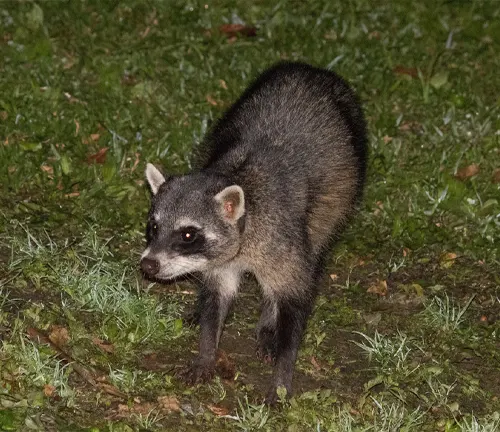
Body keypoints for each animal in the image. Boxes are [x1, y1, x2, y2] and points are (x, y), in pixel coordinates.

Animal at [141, 60, 368, 404]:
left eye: (188, 235)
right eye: (153, 227)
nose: (148, 265)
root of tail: (309, 68)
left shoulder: (282, 240)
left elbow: (295, 301)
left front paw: (281, 375)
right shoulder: (220, 262)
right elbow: (216, 299)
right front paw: (206, 352)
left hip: (340, 193)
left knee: (315, 246)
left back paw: (268, 320)